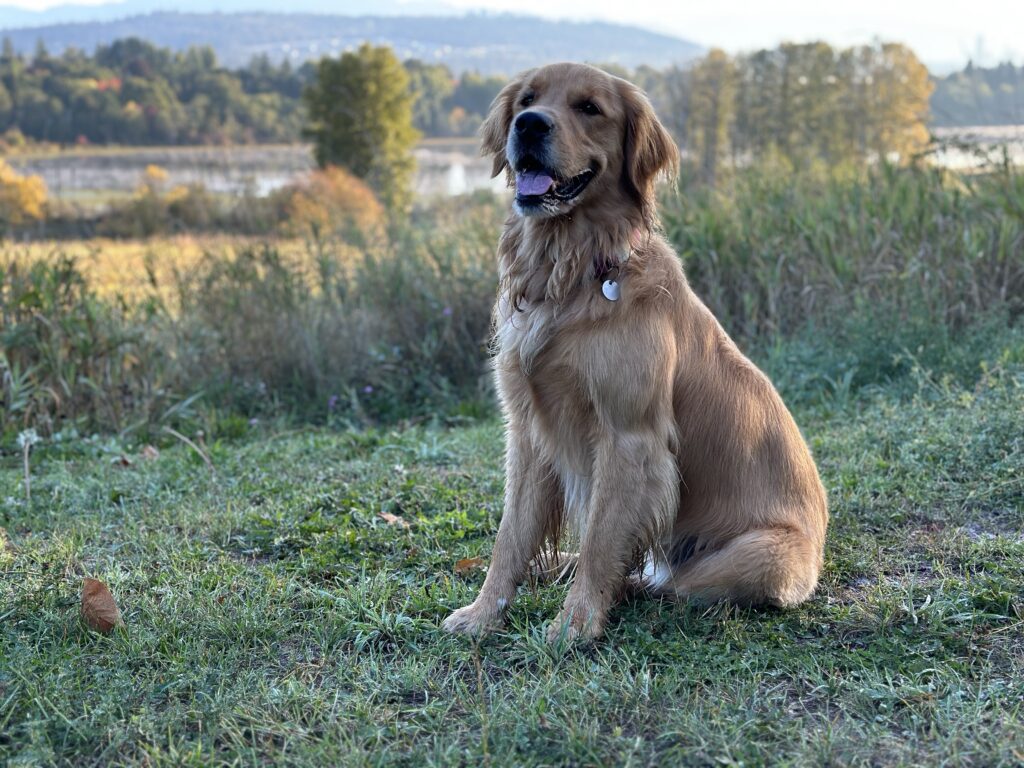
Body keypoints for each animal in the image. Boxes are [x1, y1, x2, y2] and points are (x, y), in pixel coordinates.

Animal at [444, 61, 827, 643]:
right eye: (527, 99)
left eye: (589, 108)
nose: (530, 125)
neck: (573, 271)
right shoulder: (528, 430)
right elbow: (510, 537)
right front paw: (484, 613)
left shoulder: (630, 438)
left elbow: (602, 541)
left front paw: (574, 625)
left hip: (763, 557)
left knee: (661, 581)